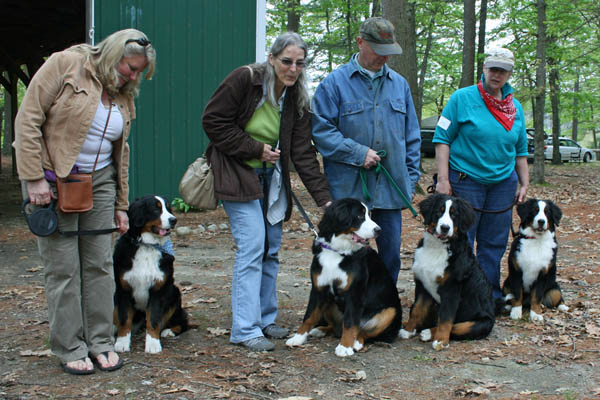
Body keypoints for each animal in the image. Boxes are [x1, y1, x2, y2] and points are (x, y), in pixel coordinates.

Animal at [112, 195, 188, 354]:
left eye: (168, 208)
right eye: (156, 209)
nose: (174, 220)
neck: (147, 246)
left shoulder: (159, 289)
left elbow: (154, 319)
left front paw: (153, 344)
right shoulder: (123, 289)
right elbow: (124, 318)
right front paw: (122, 342)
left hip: (174, 292)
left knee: (183, 321)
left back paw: (169, 331)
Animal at [286, 198, 404, 358]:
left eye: (369, 215)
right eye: (360, 216)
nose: (378, 230)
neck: (337, 251)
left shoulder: (354, 293)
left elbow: (350, 322)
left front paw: (345, 346)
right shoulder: (319, 289)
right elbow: (309, 316)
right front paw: (298, 338)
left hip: (390, 311)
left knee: (363, 331)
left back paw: (356, 342)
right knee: (336, 327)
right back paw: (321, 329)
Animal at [400, 193, 494, 350]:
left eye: (454, 215)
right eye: (439, 211)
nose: (445, 227)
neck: (437, 247)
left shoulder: (452, 289)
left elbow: (446, 319)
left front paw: (441, 341)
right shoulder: (423, 285)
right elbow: (416, 310)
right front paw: (408, 330)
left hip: (478, 323)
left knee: (456, 327)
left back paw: (428, 333)